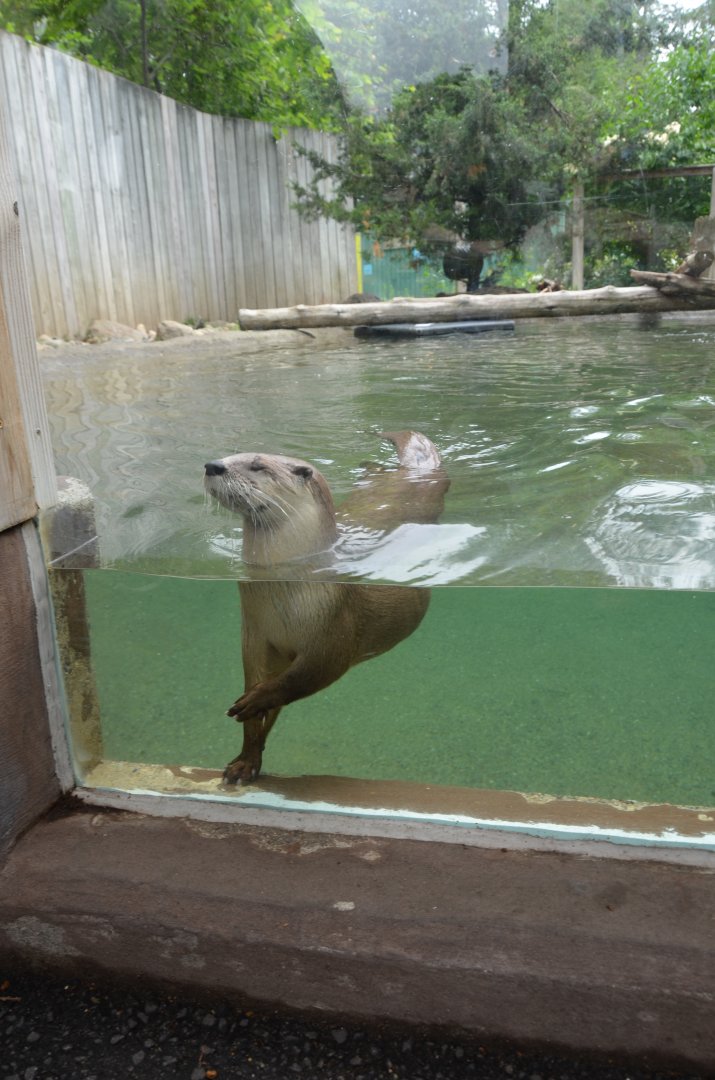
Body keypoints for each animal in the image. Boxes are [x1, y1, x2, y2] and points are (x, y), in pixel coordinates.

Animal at [204, 431, 449, 784]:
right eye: (232, 455)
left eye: (257, 465)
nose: (212, 465)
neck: (281, 597)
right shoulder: (255, 637)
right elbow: (259, 705)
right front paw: (246, 760)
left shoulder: (332, 632)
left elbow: (304, 677)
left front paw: (256, 701)